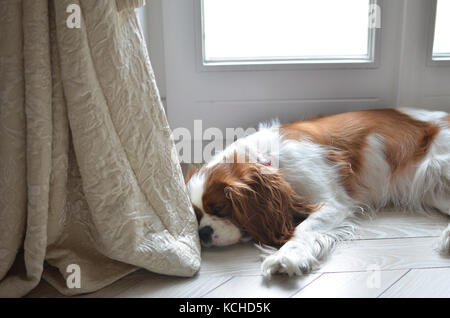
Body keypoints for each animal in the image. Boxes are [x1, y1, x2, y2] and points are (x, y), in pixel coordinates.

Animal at [185, 108, 450, 278]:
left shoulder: (334, 205)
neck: (267, 159)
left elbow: (302, 230)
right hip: (433, 191)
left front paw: (287, 257)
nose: (203, 233)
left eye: (220, 208)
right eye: (196, 216)